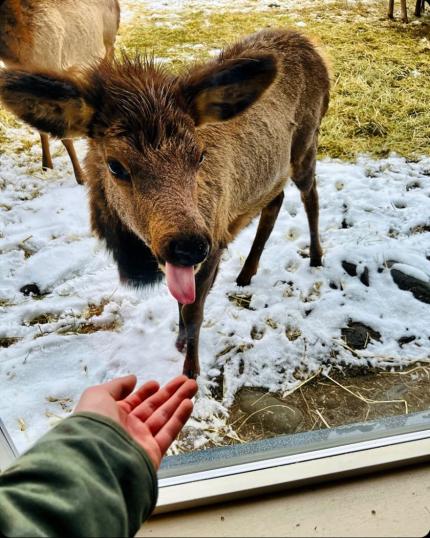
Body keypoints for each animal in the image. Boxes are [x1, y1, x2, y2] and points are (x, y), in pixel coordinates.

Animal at [0, 27, 330, 374]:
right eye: (115, 165)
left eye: (199, 155)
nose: (189, 245)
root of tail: (310, 44)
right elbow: (180, 303)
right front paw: (179, 341)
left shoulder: (215, 239)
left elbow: (194, 311)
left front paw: (191, 371)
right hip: (273, 173)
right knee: (275, 202)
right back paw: (246, 273)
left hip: (307, 143)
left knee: (310, 196)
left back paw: (316, 257)